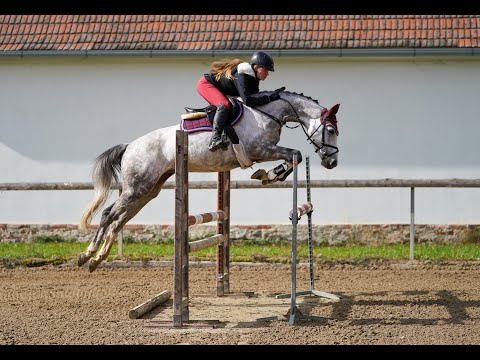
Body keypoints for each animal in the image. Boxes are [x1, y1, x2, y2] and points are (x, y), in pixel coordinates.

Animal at [77, 88, 340, 272]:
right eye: (331, 131)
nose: (332, 162)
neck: (268, 114)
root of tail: (130, 146)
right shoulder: (261, 150)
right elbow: (294, 154)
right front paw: (270, 174)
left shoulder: (265, 151)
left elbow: (294, 157)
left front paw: (269, 175)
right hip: (136, 189)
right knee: (108, 215)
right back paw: (87, 254)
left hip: (147, 191)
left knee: (119, 221)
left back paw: (98, 259)